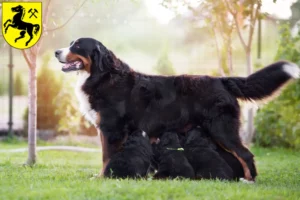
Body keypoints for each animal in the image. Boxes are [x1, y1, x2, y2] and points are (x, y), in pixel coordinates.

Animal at [54, 37, 300, 181]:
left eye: (77, 45)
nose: (56, 52)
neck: (103, 75)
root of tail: (222, 80)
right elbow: (106, 158)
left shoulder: (111, 129)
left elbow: (107, 157)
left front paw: (104, 177)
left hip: (222, 129)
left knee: (245, 154)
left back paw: (248, 180)